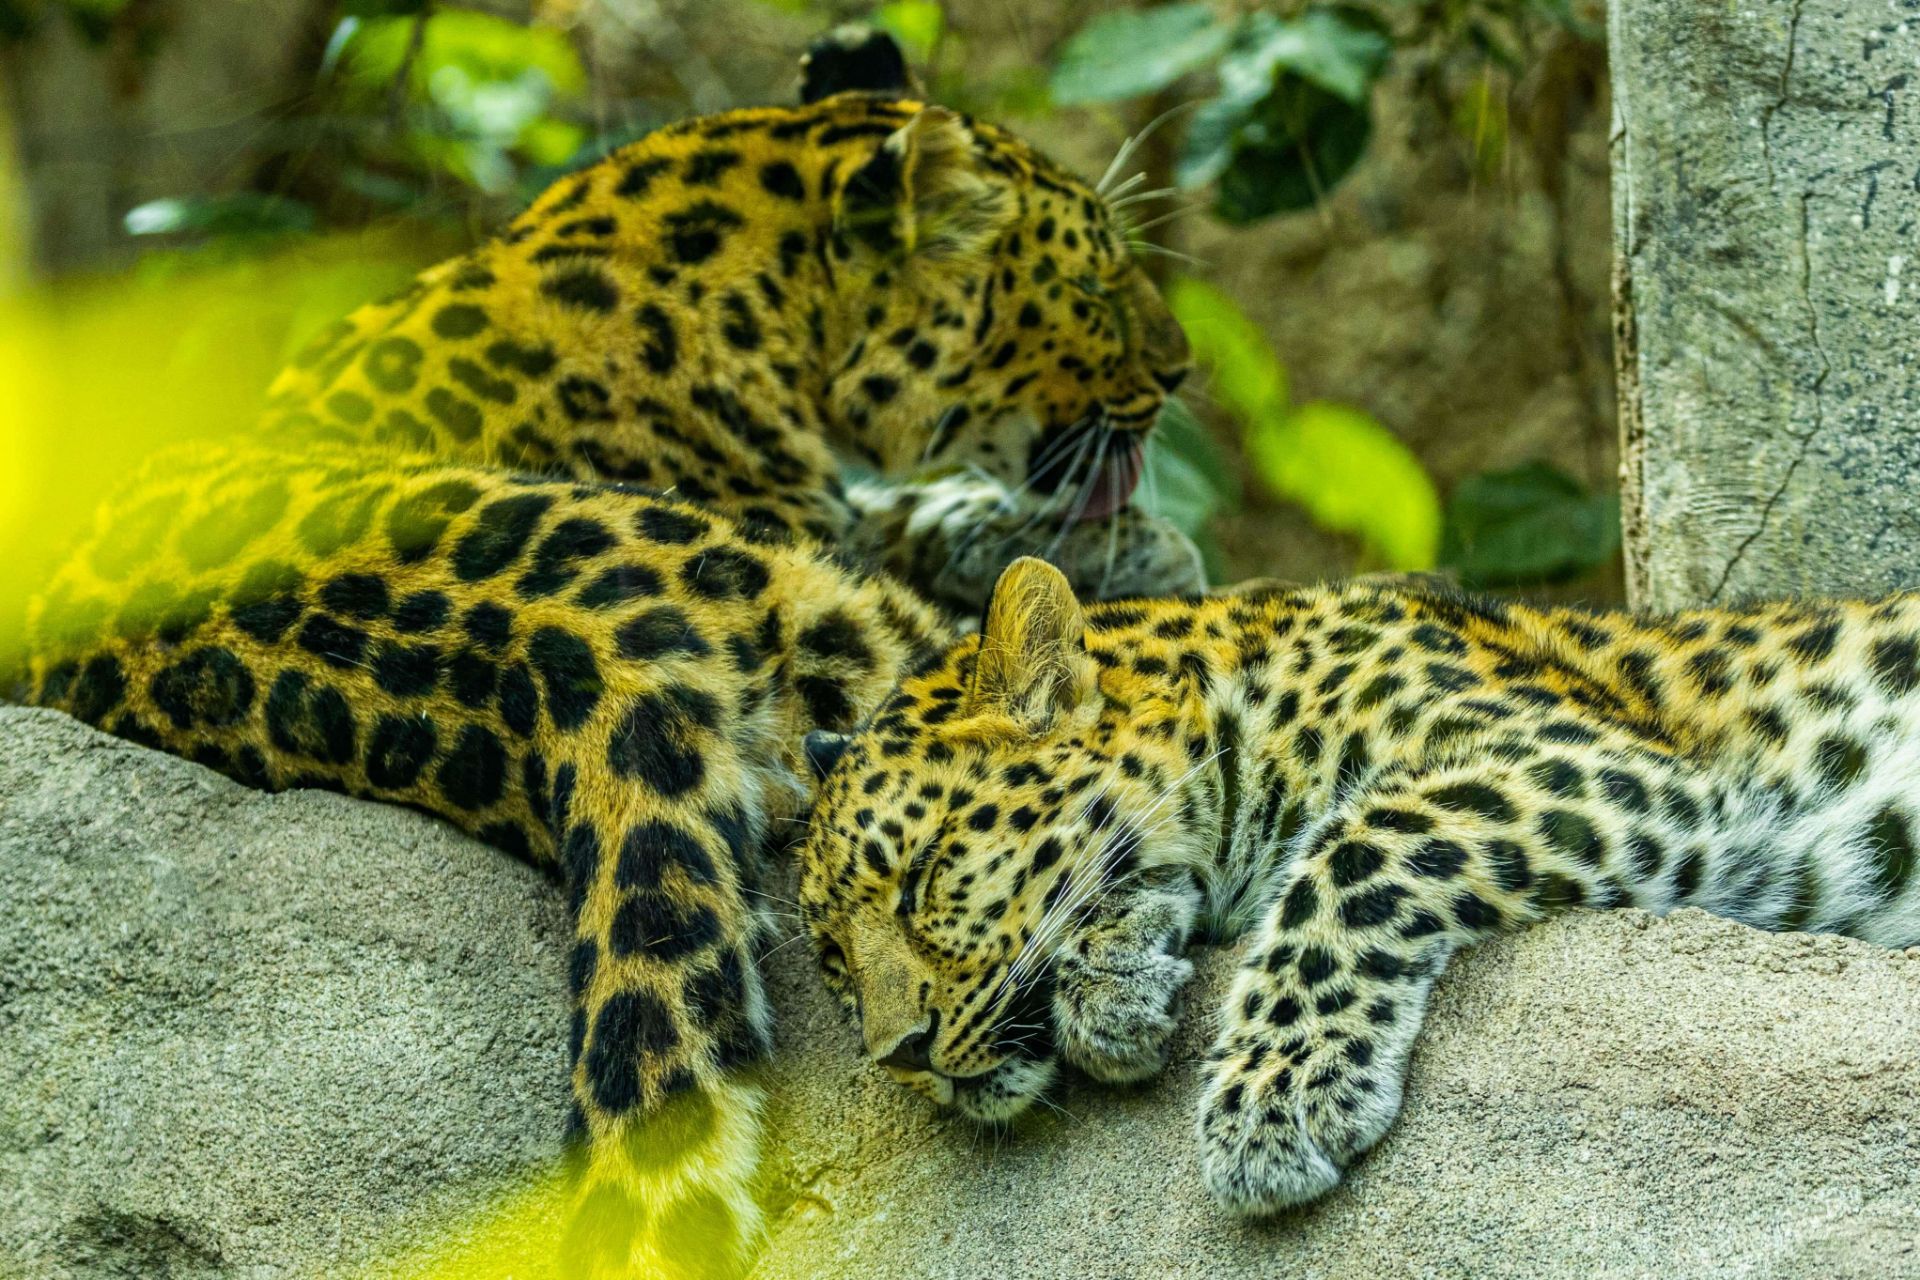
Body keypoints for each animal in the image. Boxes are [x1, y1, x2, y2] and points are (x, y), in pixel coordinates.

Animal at [799, 555, 1920, 1216]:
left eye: (925, 873)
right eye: (833, 965)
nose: (899, 1055)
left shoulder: (1594, 758)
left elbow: (1359, 844)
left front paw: (1274, 1098)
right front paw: (1113, 982)